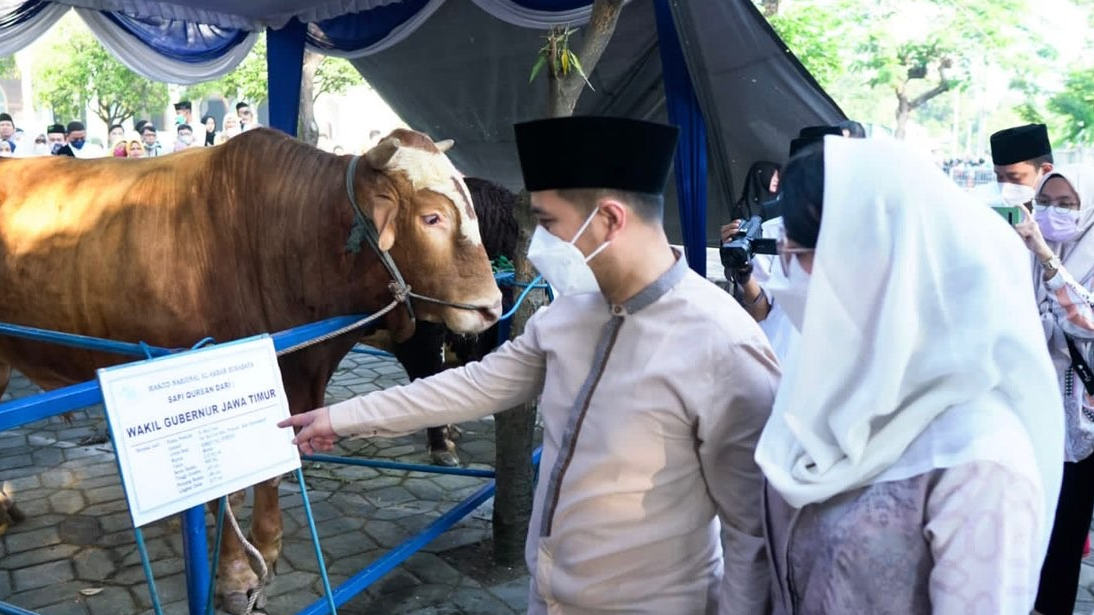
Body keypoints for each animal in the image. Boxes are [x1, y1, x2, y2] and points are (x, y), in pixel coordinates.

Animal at [0, 128, 501, 608]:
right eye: (431, 217)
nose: (493, 306)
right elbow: (222, 491)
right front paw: (237, 578)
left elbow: (270, 471)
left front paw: (267, 548)